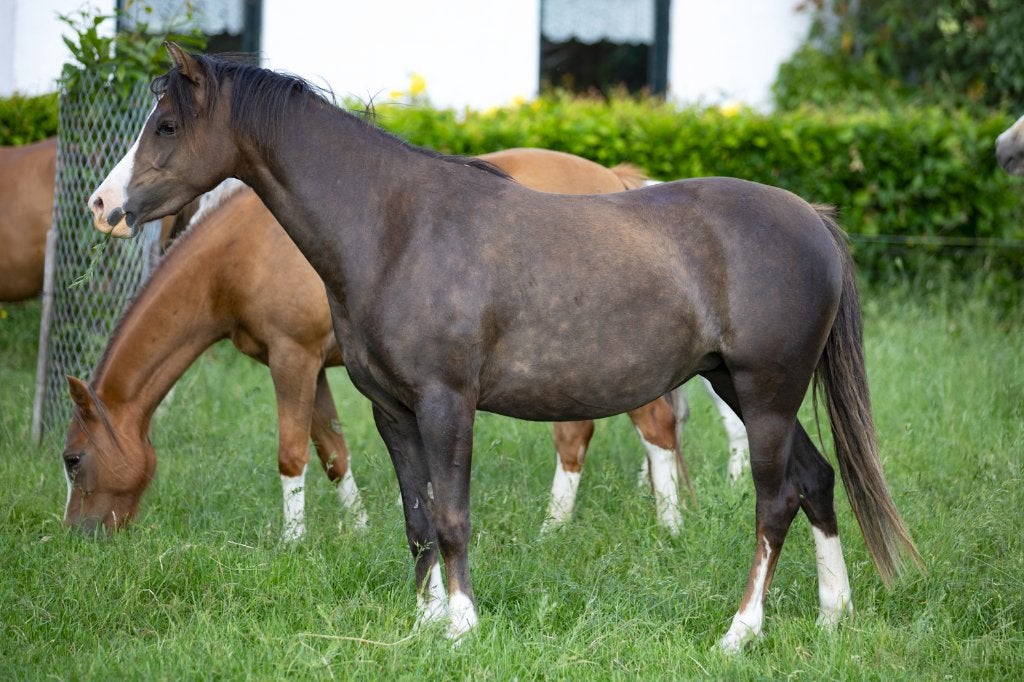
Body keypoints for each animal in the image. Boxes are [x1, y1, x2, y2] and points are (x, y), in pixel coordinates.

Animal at [63, 146, 727, 542]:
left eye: (72, 460)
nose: (75, 537)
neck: (241, 251)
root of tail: (617, 179)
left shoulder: (293, 358)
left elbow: (292, 453)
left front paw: (292, 543)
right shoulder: (318, 367)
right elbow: (333, 450)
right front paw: (358, 529)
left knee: (652, 428)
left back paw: (657, 529)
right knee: (587, 435)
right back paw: (557, 530)